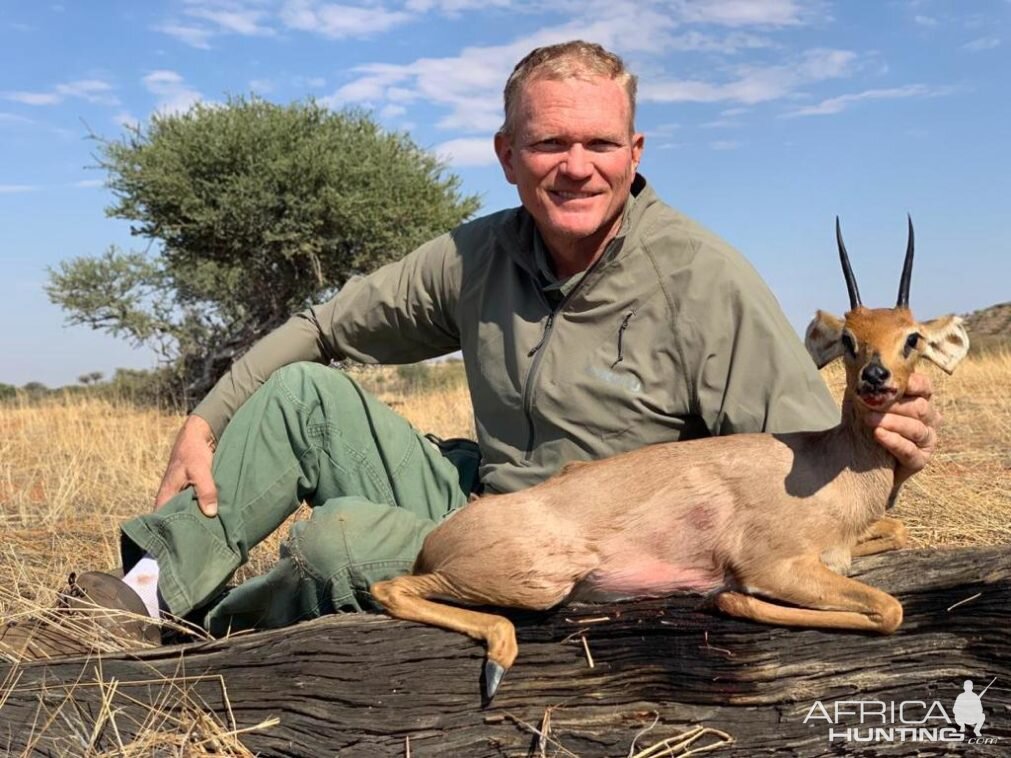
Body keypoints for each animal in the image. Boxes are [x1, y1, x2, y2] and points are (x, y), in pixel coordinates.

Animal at [370, 215, 962, 699]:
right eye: (847, 339)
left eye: (911, 338)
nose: (876, 378)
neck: (825, 469)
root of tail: (439, 536)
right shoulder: (774, 566)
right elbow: (889, 609)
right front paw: (726, 600)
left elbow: (898, 537)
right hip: (534, 582)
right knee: (388, 587)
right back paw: (495, 663)